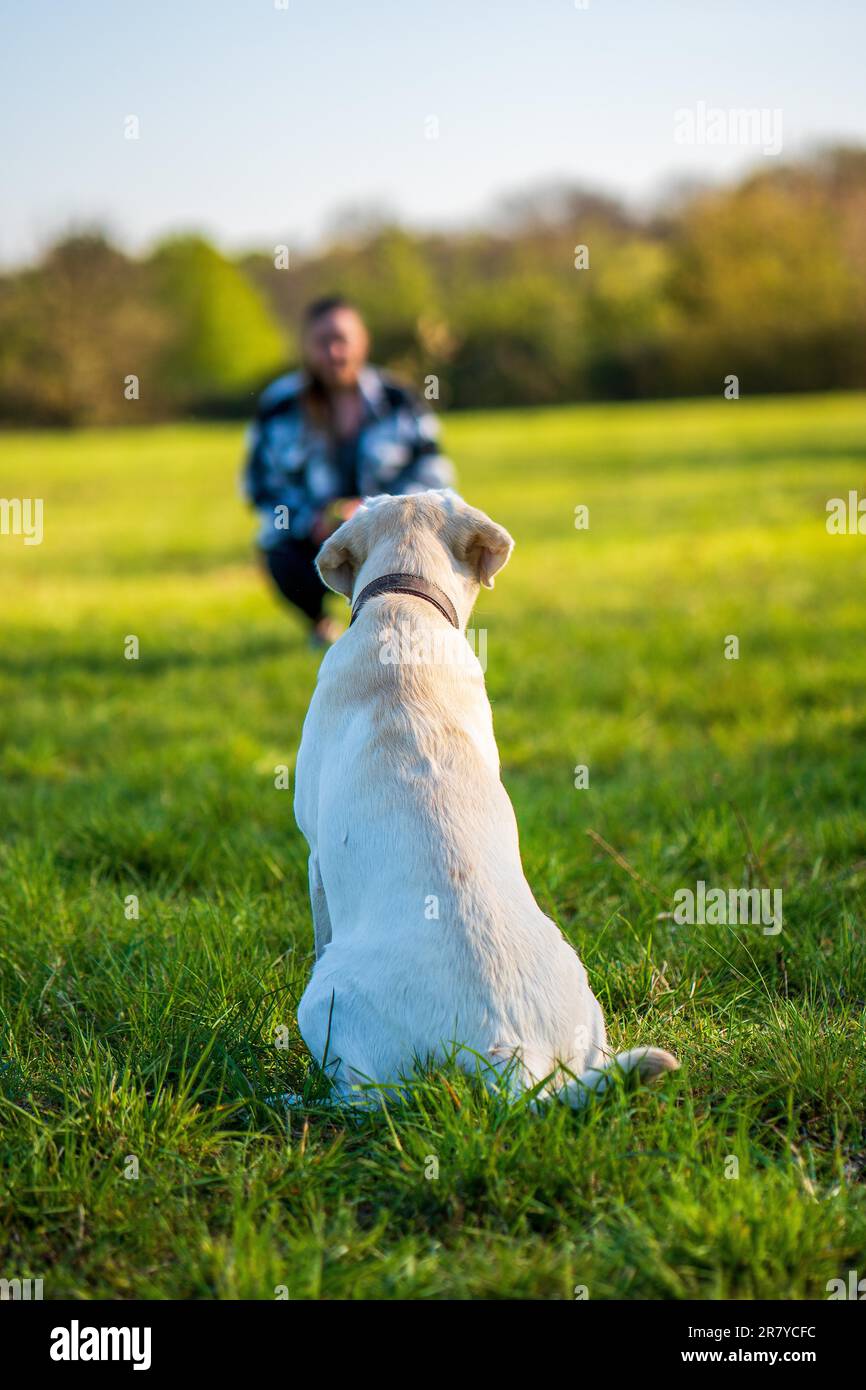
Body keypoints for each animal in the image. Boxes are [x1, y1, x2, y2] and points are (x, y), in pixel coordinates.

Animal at [291, 489, 678, 1106]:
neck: (404, 612)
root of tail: (507, 1055)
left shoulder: (314, 859)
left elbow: (319, 927)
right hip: (583, 1000)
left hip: (326, 1005)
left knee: (374, 1098)